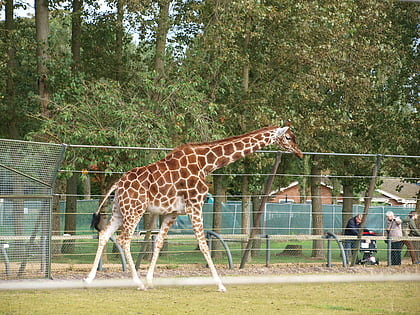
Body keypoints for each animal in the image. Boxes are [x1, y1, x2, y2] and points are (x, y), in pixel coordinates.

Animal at [83, 122, 304, 292]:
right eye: (289, 137)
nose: (300, 153)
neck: (207, 164)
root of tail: (118, 184)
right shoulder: (195, 205)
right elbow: (204, 244)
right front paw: (220, 285)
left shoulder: (172, 212)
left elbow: (159, 242)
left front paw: (151, 280)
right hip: (134, 209)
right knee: (124, 238)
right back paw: (137, 283)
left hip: (120, 210)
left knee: (104, 234)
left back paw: (89, 279)